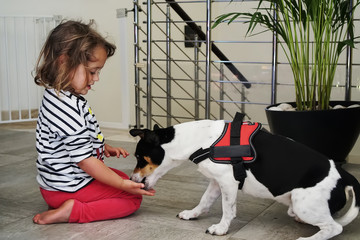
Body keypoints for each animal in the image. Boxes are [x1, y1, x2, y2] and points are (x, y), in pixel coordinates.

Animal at [130, 115, 360, 240]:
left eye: (139, 157)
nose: (132, 179)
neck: (201, 140)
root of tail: (344, 175)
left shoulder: (228, 183)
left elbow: (227, 210)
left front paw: (221, 229)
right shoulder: (216, 182)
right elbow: (204, 201)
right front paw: (192, 214)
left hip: (303, 204)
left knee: (334, 227)